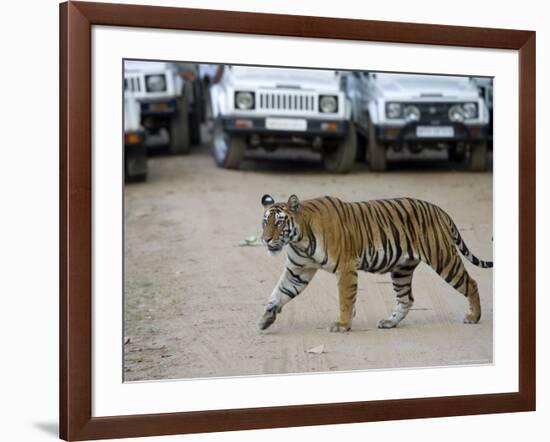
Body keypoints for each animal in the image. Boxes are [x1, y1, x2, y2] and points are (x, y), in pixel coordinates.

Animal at [258, 193, 496, 332]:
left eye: (279, 223)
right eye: (265, 222)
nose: (265, 239)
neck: (300, 239)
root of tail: (439, 210)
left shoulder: (346, 267)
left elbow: (345, 299)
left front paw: (342, 324)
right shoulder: (298, 271)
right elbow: (278, 293)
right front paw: (266, 318)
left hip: (443, 258)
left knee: (471, 283)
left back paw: (474, 317)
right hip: (402, 270)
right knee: (406, 299)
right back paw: (390, 322)